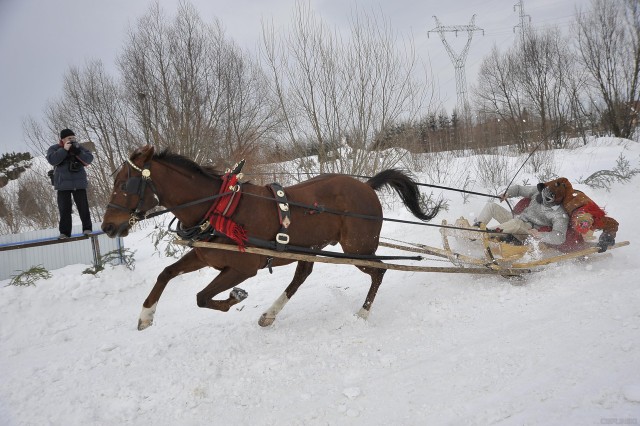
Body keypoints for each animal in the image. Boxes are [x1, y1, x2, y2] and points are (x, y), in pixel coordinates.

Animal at [101, 146, 440, 330]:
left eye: (124, 185)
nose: (107, 227)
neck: (219, 207)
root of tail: (367, 186)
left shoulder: (243, 268)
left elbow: (202, 297)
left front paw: (236, 297)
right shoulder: (203, 254)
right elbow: (166, 273)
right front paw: (146, 316)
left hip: (358, 248)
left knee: (380, 270)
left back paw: (363, 312)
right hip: (311, 248)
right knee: (303, 274)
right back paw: (270, 314)